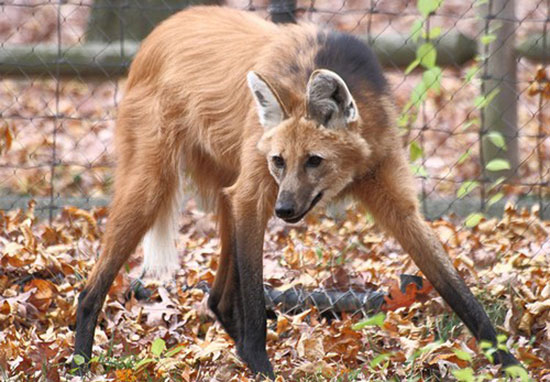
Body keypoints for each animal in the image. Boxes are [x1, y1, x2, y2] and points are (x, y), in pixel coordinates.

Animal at [74, 4, 520, 378]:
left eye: (314, 160)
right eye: (279, 161)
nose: (285, 210)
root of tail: (158, 32)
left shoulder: (394, 197)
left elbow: (457, 289)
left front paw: (510, 362)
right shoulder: (257, 194)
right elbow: (255, 298)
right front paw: (262, 366)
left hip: (226, 191)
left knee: (217, 298)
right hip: (155, 187)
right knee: (91, 288)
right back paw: (80, 362)